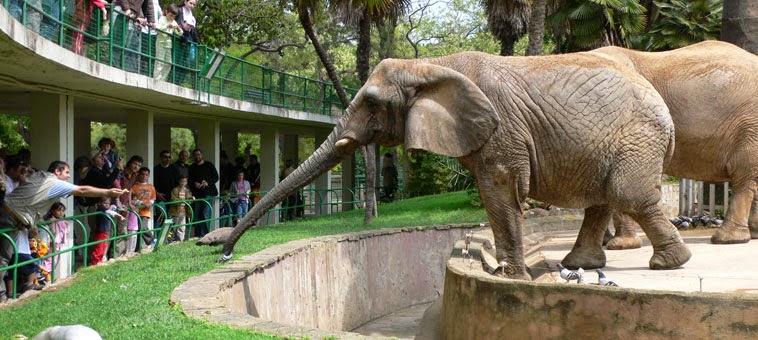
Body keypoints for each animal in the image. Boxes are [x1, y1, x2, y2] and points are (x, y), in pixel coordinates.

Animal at [220, 50, 696, 278]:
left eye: (371, 102)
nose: (224, 252)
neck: (431, 66)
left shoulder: (500, 130)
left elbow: (499, 190)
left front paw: (513, 279)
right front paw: (512, 274)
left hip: (638, 137)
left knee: (627, 193)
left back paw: (669, 265)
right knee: (603, 196)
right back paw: (581, 267)